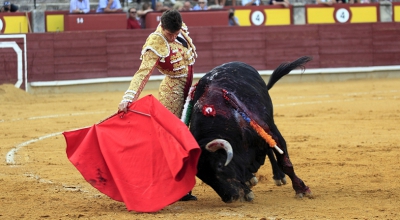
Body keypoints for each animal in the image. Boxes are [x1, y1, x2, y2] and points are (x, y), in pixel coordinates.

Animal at [186, 55, 314, 202]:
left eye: (219, 165)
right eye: (202, 176)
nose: (229, 198)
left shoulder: (272, 132)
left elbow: (285, 162)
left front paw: (302, 189)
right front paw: (247, 190)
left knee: (270, 149)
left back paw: (279, 176)